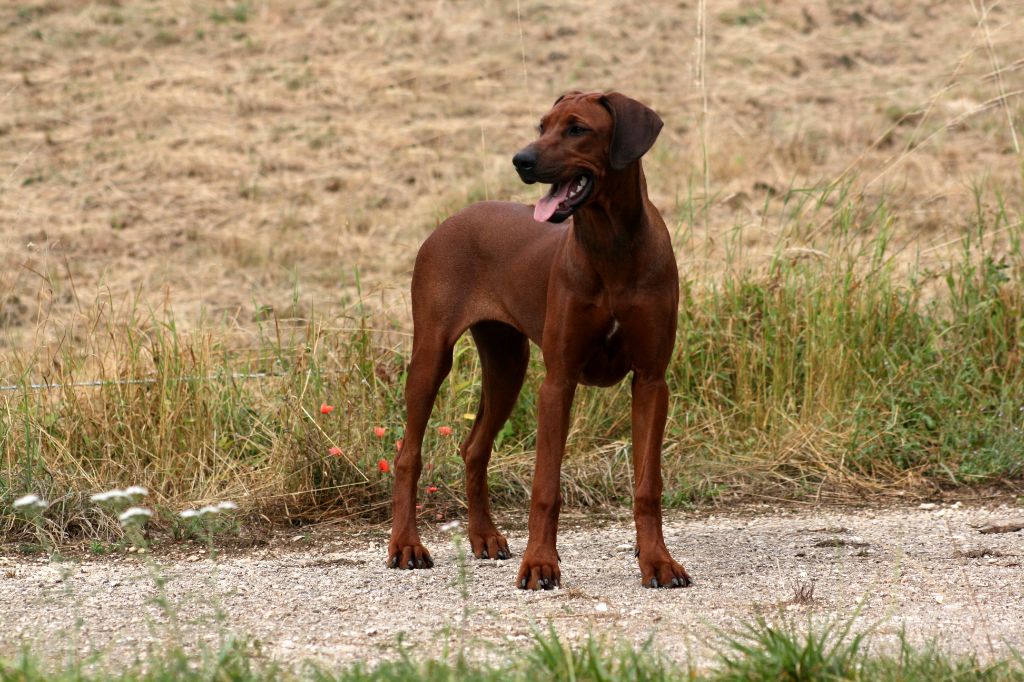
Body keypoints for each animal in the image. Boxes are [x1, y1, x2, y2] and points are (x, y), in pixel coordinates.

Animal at [387, 91, 692, 589]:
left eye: (577, 128)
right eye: (542, 124)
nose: (521, 160)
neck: (611, 247)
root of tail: (452, 218)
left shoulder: (651, 381)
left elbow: (648, 484)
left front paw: (658, 561)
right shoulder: (558, 381)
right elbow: (545, 485)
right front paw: (540, 564)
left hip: (507, 363)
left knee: (474, 448)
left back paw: (484, 537)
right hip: (432, 355)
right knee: (407, 454)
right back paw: (406, 546)